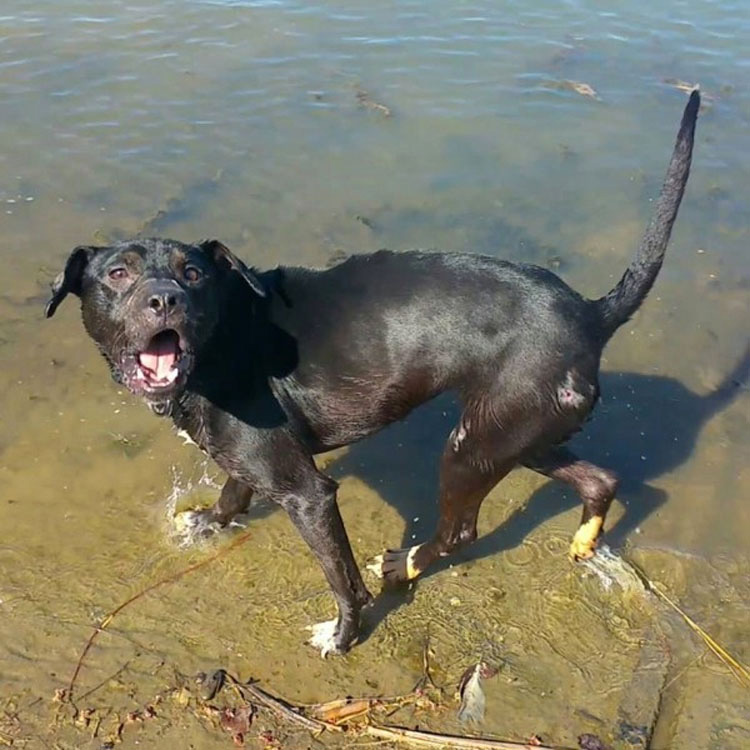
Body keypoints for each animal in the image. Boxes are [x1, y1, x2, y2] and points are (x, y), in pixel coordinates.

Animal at [47, 89, 704, 656]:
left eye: (193, 274)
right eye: (118, 275)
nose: (165, 301)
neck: (223, 340)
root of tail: (592, 313)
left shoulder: (307, 493)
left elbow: (339, 577)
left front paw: (343, 636)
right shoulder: (251, 460)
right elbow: (234, 493)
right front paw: (205, 522)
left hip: (473, 446)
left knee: (462, 531)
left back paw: (405, 564)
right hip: (523, 431)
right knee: (600, 479)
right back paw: (584, 540)